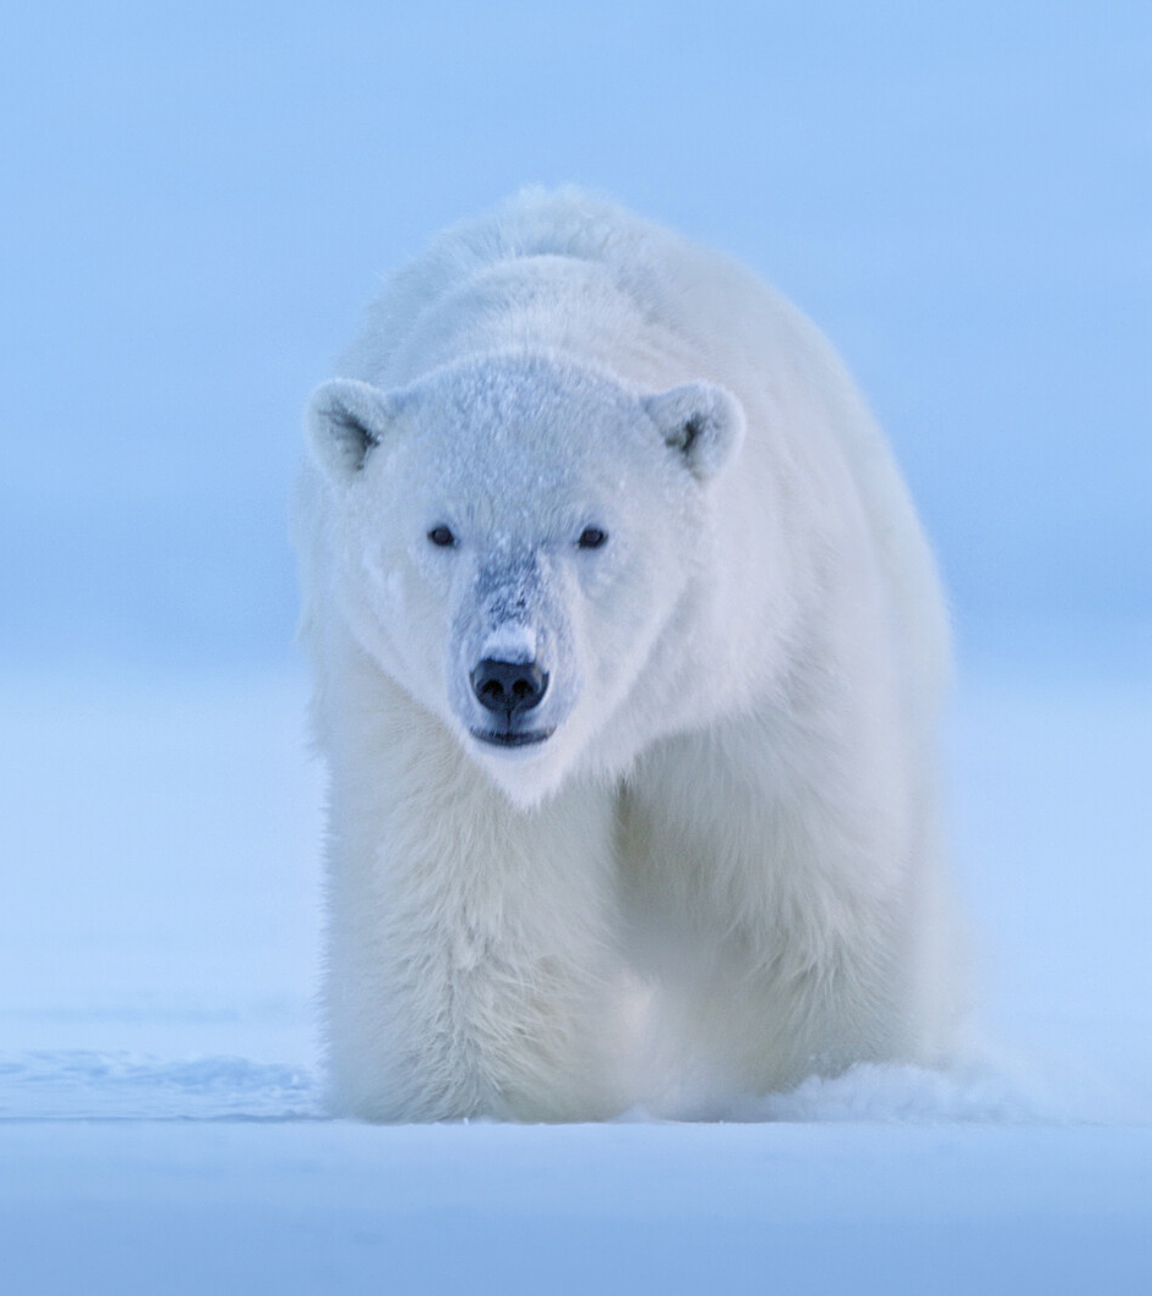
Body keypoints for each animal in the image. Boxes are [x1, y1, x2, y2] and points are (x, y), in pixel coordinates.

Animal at [291, 185, 958, 1124]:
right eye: (440, 530)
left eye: (593, 531)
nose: (510, 676)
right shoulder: (420, 719)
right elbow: (471, 920)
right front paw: (480, 1107)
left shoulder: (768, 678)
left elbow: (811, 900)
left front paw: (834, 1086)